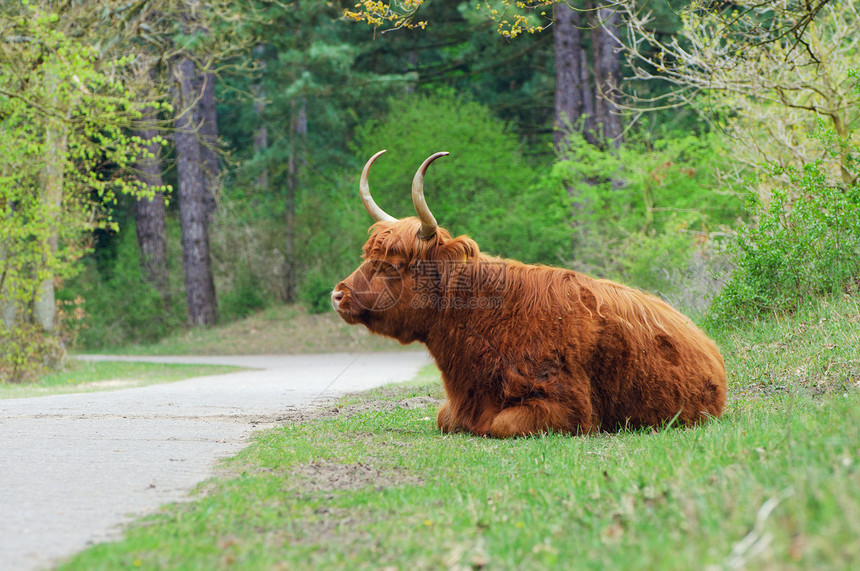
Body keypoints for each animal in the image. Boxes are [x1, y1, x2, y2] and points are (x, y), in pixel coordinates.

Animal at [330, 152, 724, 438]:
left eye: (393, 264)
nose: (338, 294)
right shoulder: (456, 406)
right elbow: (445, 418)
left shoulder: (569, 408)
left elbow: (500, 424)